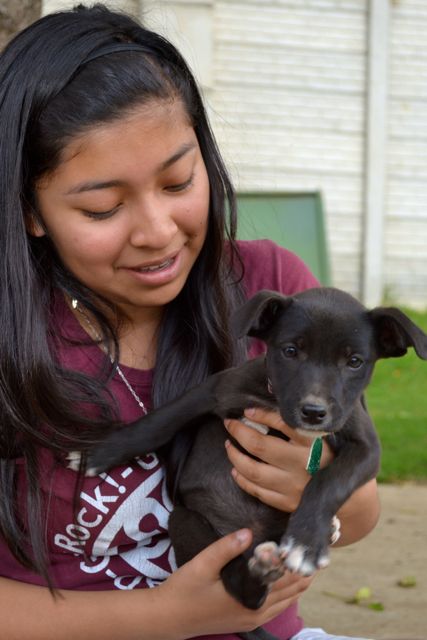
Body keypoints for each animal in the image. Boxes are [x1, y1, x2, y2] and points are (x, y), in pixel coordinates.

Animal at [73, 287, 427, 611]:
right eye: (290, 351)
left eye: (354, 362)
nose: (313, 412)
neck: (272, 400)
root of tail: (253, 538)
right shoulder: (214, 390)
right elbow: (159, 421)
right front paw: (101, 452)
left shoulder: (365, 447)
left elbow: (328, 482)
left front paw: (306, 542)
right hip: (185, 520)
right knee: (238, 587)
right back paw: (260, 572)